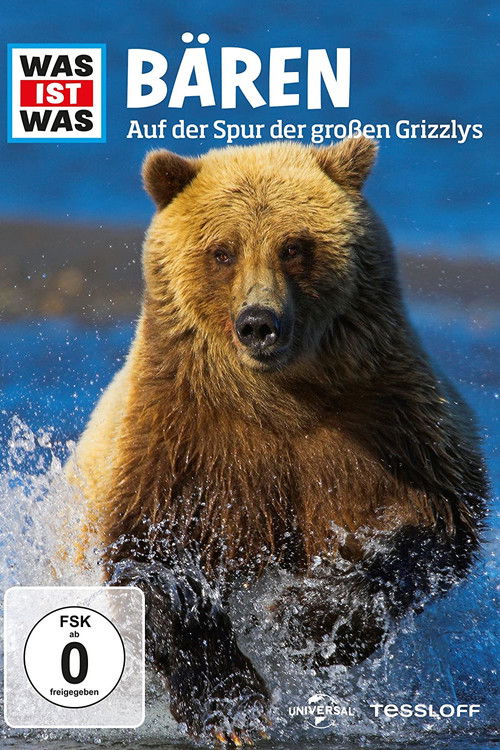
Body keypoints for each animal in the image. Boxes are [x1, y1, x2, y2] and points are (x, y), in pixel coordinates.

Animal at [67, 137, 487, 745]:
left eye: (294, 246)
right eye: (222, 251)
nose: (259, 322)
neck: (280, 396)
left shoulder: (386, 422)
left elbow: (429, 526)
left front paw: (302, 620)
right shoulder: (179, 442)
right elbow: (150, 564)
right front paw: (229, 707)